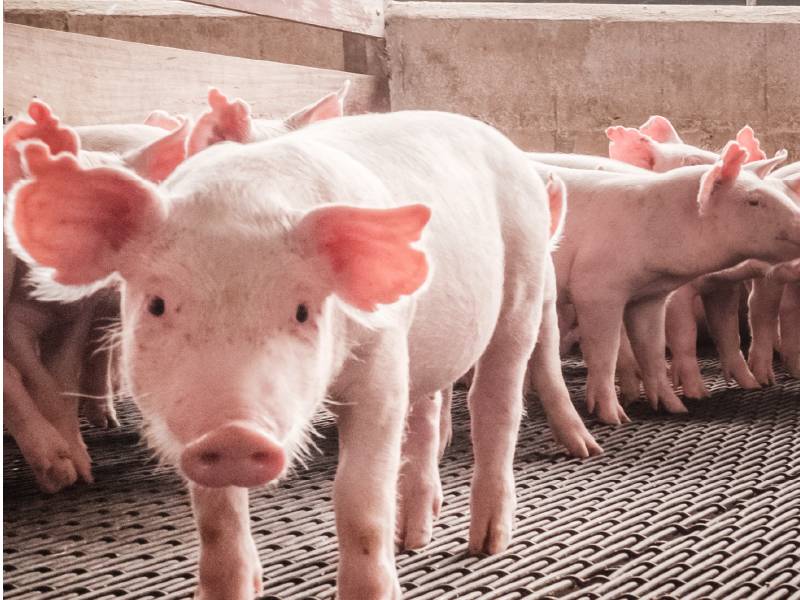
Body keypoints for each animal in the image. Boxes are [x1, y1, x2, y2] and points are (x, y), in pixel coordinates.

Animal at [6, 110, 552, 596]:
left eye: (303, 311)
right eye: (156, 304)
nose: (233, 432)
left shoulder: (382, 356)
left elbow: (359, 499)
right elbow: (217, 521)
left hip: (524, 284)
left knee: (496, 406)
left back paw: (486, 544)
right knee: (428, 413)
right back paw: (413, 538)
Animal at [532, 143, 800, 424]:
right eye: (754, 201)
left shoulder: (649, 297)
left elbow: (653, 350)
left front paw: (676, 408)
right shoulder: (595, 289)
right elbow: (605, 352)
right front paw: (617, 419)